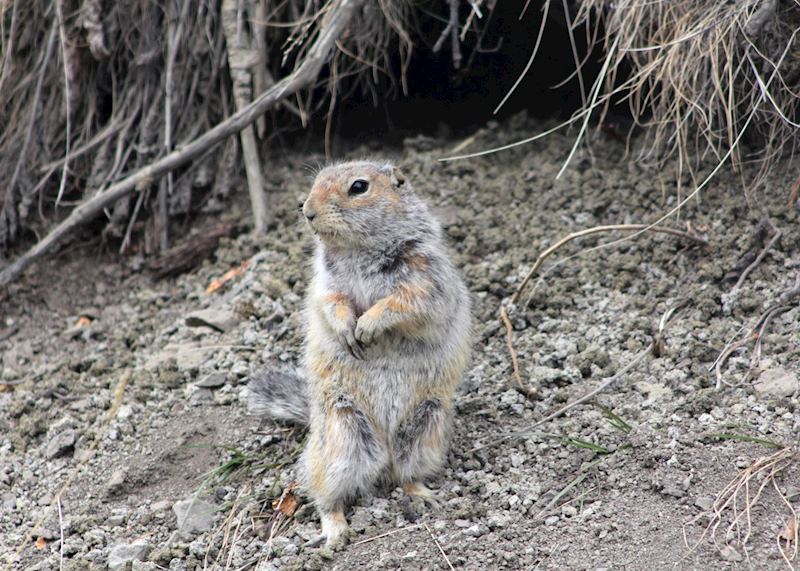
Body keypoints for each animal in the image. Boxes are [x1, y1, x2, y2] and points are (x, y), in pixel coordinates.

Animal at [247, 160, 472, 548]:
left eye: (358, 187)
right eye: (316, 182)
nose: (307, 211)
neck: (357, 249)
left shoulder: (424, 276)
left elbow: (402, 303)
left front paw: (367, 326)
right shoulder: (326, 284)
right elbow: (332, 303)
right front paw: (348, 332)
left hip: (425, 429)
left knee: (405, 475)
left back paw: (423, 496)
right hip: (343, 440)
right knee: (325, 496)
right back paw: (336, 533)